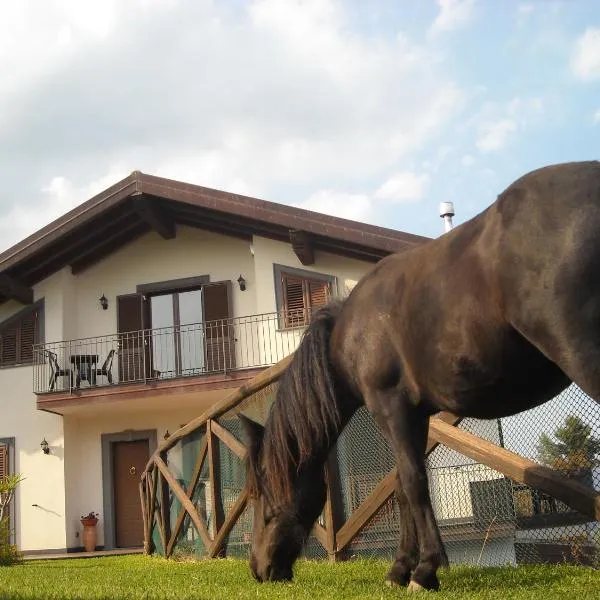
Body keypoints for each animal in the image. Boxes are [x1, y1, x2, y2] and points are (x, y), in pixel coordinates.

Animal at [239, 162, 600, 592]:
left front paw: (425, 569)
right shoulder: (416, 414)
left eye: (261, 492)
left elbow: (412, 481)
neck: (352, 333)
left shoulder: (391, 407)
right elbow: (399, 485)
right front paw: (400, 567)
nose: (258, 569)